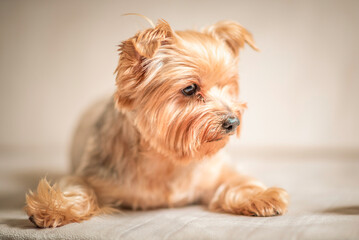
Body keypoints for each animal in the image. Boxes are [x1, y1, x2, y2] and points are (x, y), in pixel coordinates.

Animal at [24, 18, 290, 227]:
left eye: (227, 86)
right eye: (190, 89)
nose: (233, 122)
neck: (167, 160)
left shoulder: (216, 170)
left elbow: (238, 181)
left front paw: (262, 197)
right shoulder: (91, 172)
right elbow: (78, 188)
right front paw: (53, 208)